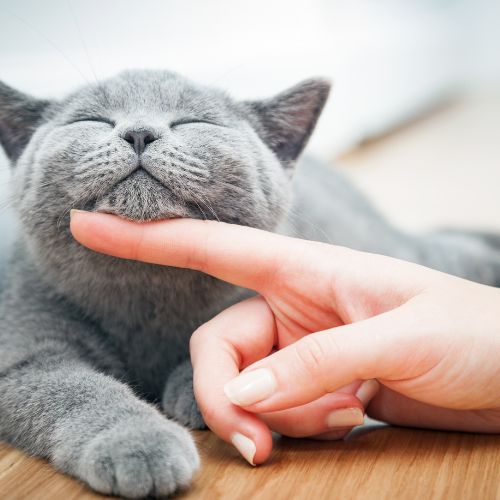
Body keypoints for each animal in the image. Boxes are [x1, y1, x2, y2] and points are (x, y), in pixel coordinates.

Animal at [0, 69, 500, 496]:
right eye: (91, 120)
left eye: (194, 121)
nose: (139, 132)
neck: (145, 294)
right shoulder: (24, 349)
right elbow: (75, 389)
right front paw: (138, 442)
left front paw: (195, 390)